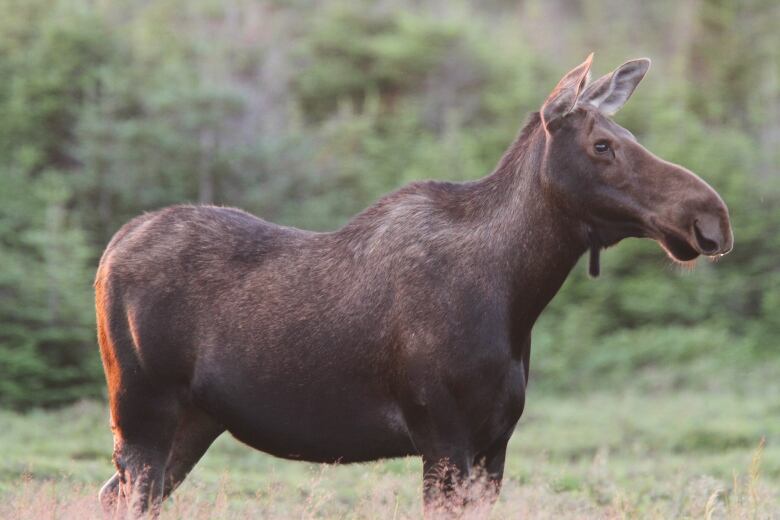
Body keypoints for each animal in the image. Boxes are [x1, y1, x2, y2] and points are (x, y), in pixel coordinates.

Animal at [96, 54, 732, 516]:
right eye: (603, 145)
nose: (711, 217)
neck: (516, 296)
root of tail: (110, 249)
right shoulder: (443, 435)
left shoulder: (494, 443)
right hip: (140, 412)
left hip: (196, 420)